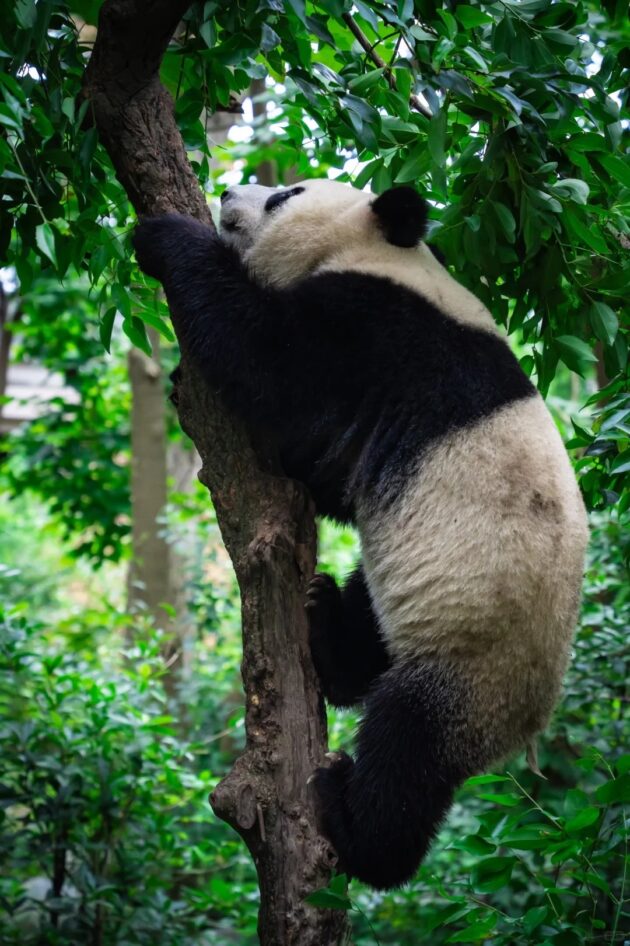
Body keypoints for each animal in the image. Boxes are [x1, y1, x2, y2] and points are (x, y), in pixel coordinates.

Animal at [133, 180, 589, 890]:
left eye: (285, 194)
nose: (230, 190)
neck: (391, 256)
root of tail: (530, 730)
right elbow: (325, 473)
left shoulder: (374, 334)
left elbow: (271, 364)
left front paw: (165, 238)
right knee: (370, 622)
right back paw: (326, 623)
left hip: (474, 660)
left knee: (409, 752)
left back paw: (350, 820)